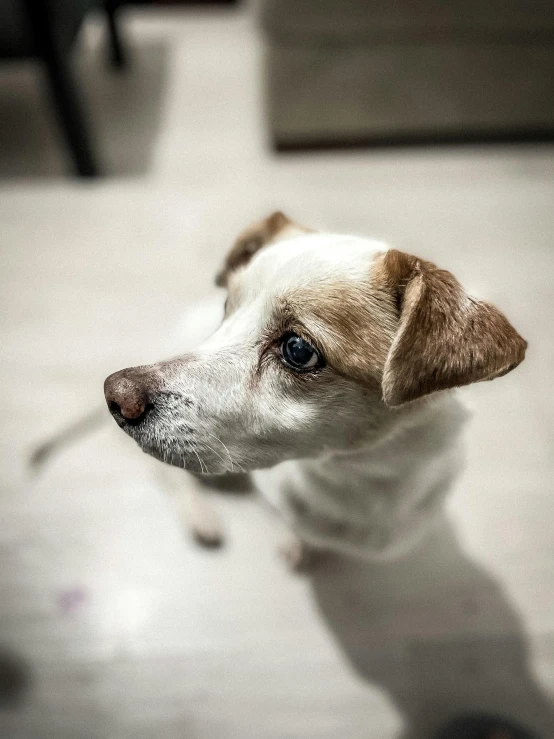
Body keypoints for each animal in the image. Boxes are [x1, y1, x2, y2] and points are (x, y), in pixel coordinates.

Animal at [100, 214, 528, 568]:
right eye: (228, 307)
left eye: (298, 350)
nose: (115, 394)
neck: (356, 480)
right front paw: (296, 544)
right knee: (168, 476)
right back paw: (201, 518)